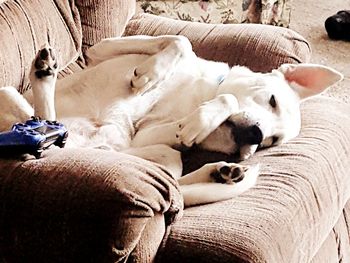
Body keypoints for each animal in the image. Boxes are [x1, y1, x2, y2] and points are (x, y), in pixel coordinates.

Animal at [0, 35, 342, 208]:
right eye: (272, 100)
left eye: (272, 142)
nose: (256, 137)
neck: (200, 91)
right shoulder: (102, 48)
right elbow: (181, 41)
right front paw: (150, 75)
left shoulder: (147, 136)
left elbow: (201, 117)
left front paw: (199, 122)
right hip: (10, 96)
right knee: (40, 122)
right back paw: (43, 75)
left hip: (152, 154)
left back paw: (222, 173)